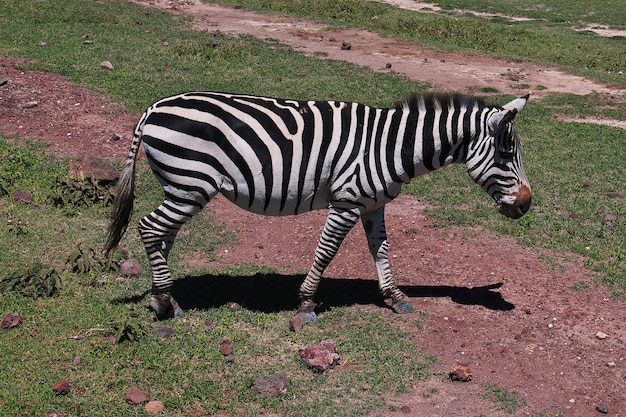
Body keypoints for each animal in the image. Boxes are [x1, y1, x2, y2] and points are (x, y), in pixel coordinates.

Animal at [105, 92, 528, 322]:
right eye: (507, 154)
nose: (526, 205)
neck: (390, 147)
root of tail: (154, 108)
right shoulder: (347, 201)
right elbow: (326, 251)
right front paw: (306, 303)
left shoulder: (374, 205)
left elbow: (381, 250)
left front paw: (395, 297)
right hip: (190, 183)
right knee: (149, 228)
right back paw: (163, 299)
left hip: (180, 186)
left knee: (162, 235)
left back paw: (165, 299)